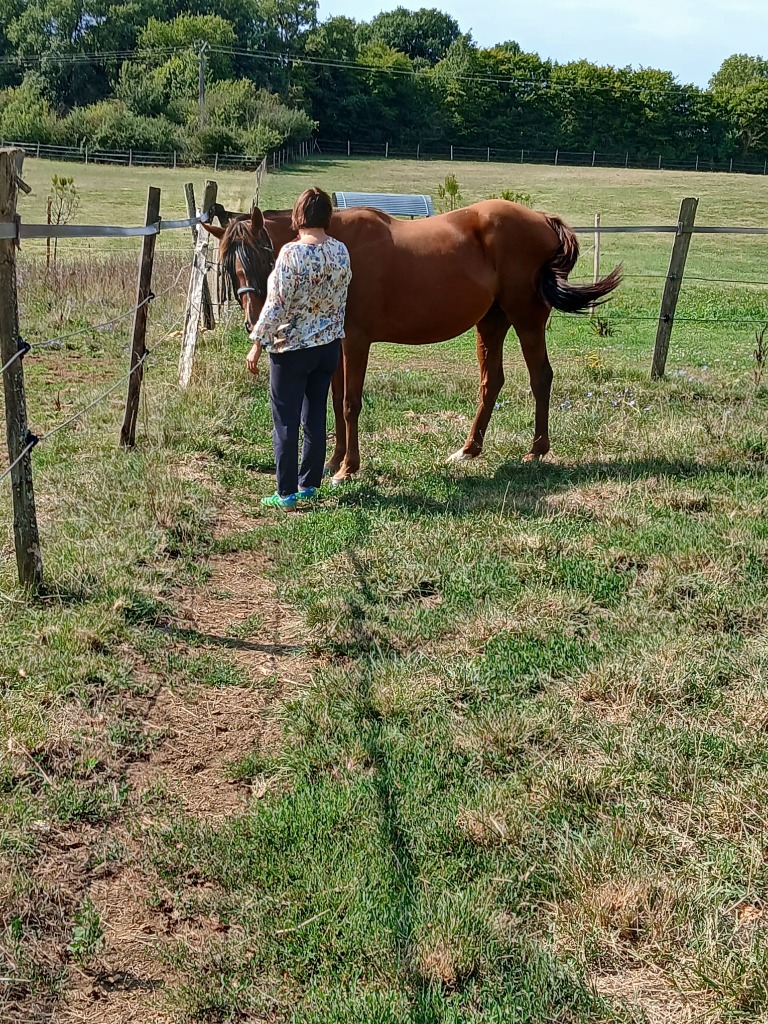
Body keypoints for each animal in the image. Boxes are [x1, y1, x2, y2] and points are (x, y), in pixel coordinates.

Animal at [203, 201, 621, 480]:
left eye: (263, 256)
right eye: (227, 266)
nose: (254, 322)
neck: (332, 246)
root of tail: (543, 220)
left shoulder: (356, 341)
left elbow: (351, 403)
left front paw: (348, 468)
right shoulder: (337, 343)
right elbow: (336, 401)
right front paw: (335, 461)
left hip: (527, 319)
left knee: (540, 378)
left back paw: (536, 450)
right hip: (491, 322)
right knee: (492, 382)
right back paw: (468, 450)